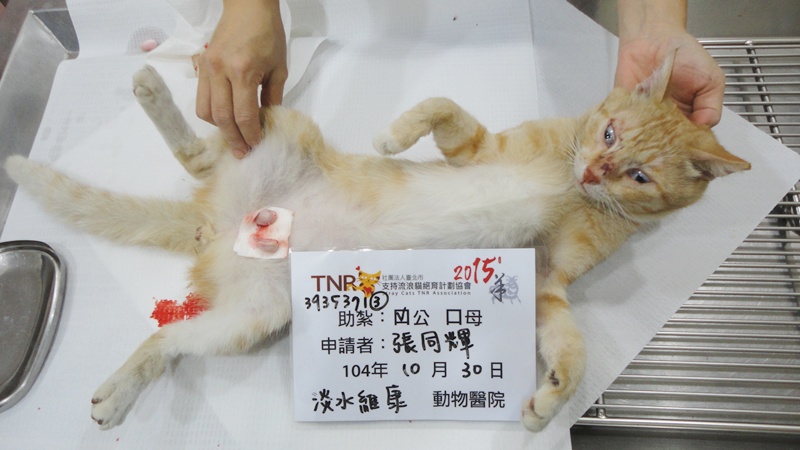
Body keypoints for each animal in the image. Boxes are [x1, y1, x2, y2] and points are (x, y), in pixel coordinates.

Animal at [4, 53, 749, 431]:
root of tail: (216, 227)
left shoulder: (546, 283)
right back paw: (153, 86)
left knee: (167, 337)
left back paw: (116, 394)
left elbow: (573, 345)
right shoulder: (477, 148)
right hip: (280, 136)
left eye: (639, 175)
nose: (594, 170)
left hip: (249, 318)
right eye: (609, 132)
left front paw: (550, 399)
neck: (570, 188)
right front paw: (392, 137)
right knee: (197, 152)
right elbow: (441, 105)